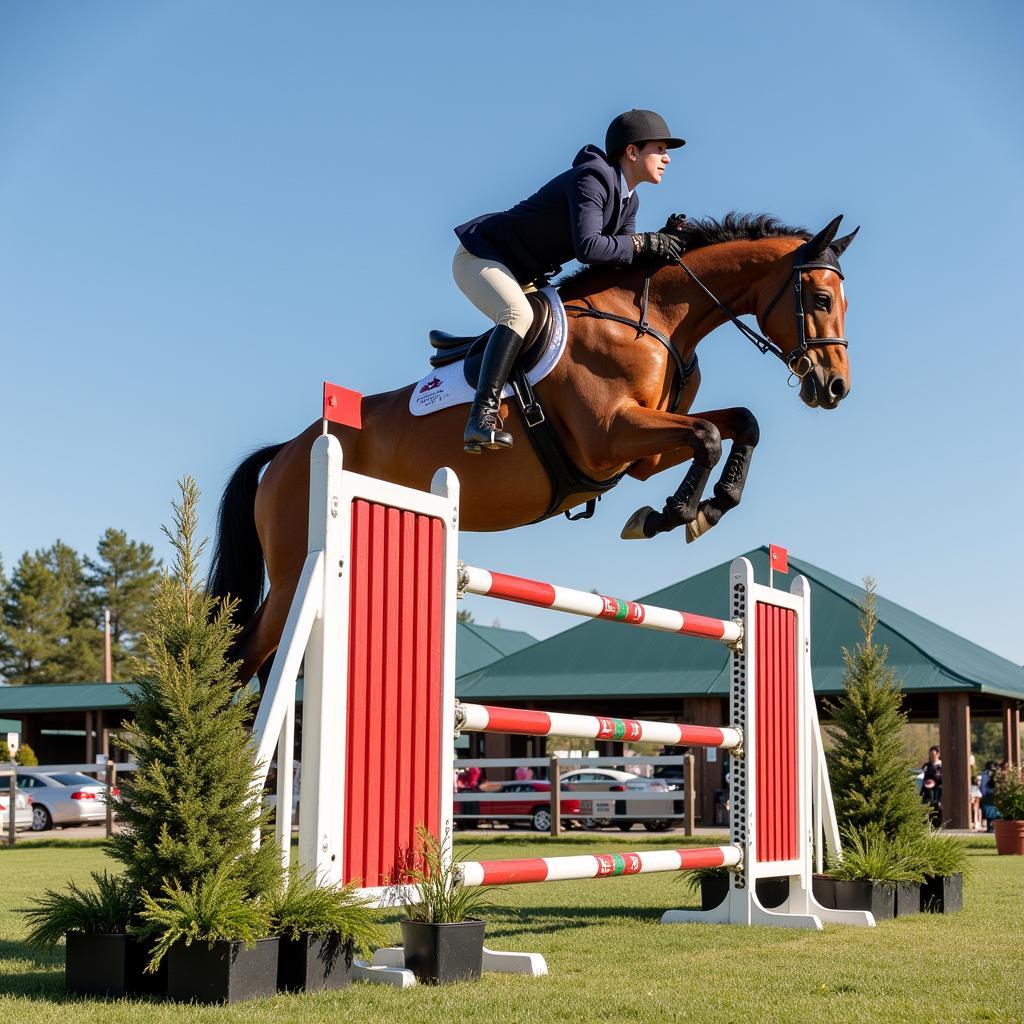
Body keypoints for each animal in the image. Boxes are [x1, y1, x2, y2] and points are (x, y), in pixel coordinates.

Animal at [207, 210, 856, 684]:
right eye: (822, 300)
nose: (835, 388)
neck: (656, 318)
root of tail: (289, 451)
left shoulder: (641, 456)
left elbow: (738, 424)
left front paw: (706, 508)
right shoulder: (611, 436)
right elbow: (709, 434)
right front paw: (673, 515)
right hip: (294, 571)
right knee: (242, 657)